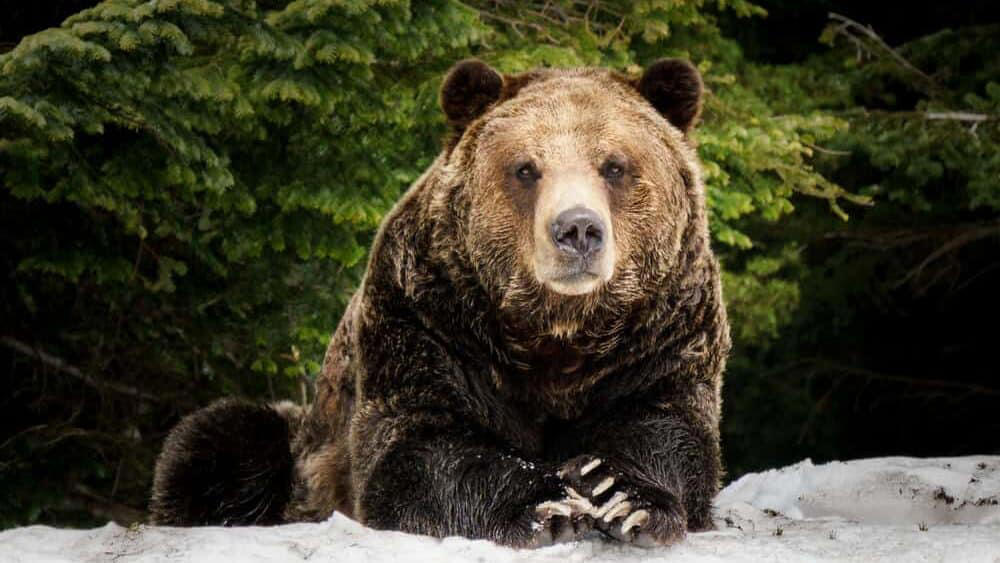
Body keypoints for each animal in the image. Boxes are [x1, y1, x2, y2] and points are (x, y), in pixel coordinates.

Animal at [150, 58, 731, 549]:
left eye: (614, 165)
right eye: (526, 168)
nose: (578, 229)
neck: (555, 334)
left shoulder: (662, 332)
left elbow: (667, 428)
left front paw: (613, 492)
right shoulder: (427, 320)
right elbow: (419, 445)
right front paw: (548, 505)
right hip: (301, 442)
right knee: (219, 437)